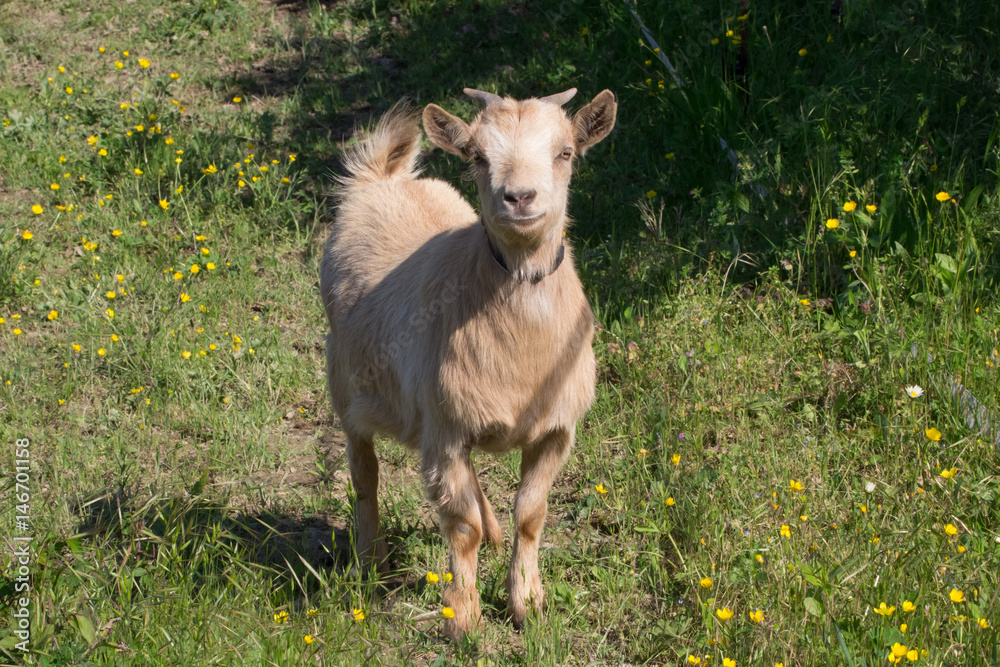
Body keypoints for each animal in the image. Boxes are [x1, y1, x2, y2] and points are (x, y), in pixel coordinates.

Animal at [320, 87, 616, 639]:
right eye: (477, 157)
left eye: (565, 152)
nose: (519, 197)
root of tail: (381, 179)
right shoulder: (445, 431)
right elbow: (461, 527)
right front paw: (464, 617)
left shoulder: (554, 430)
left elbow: (531, 514)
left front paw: (527, 603)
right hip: (347, 388)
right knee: (365, 475)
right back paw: (371, 563)